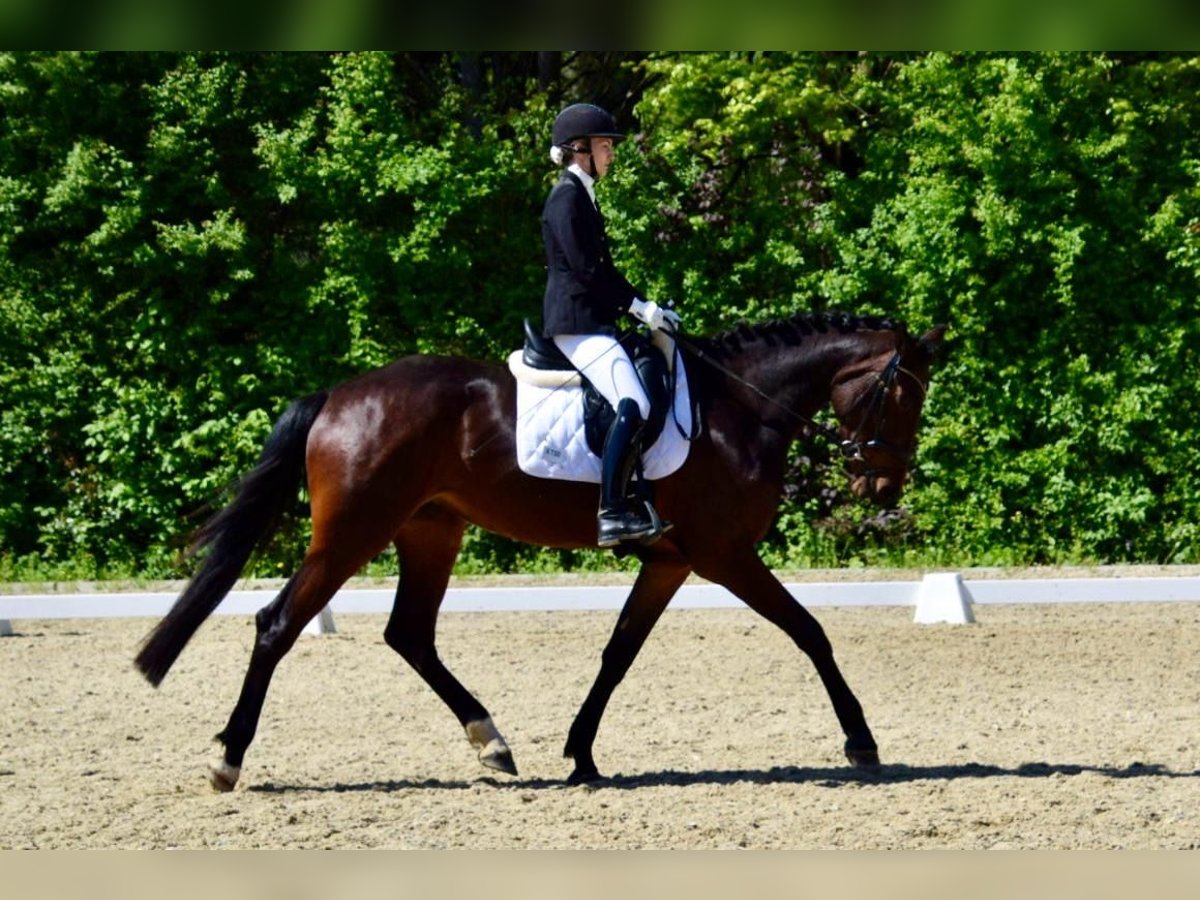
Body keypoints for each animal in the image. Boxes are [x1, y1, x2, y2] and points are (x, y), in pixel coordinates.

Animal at [136, 309, 940, 787]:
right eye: (903, 394)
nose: (882, 483)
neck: (737, 408)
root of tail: (338, 395)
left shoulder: (673, 559)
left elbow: (619, 652)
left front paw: (581, 754)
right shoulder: (722, 553)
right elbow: (810, 630)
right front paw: (861, 742)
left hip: (432, 529)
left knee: (410, 634)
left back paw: (492, 743)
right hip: (354, 532)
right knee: (278, 625)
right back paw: (228, 760)